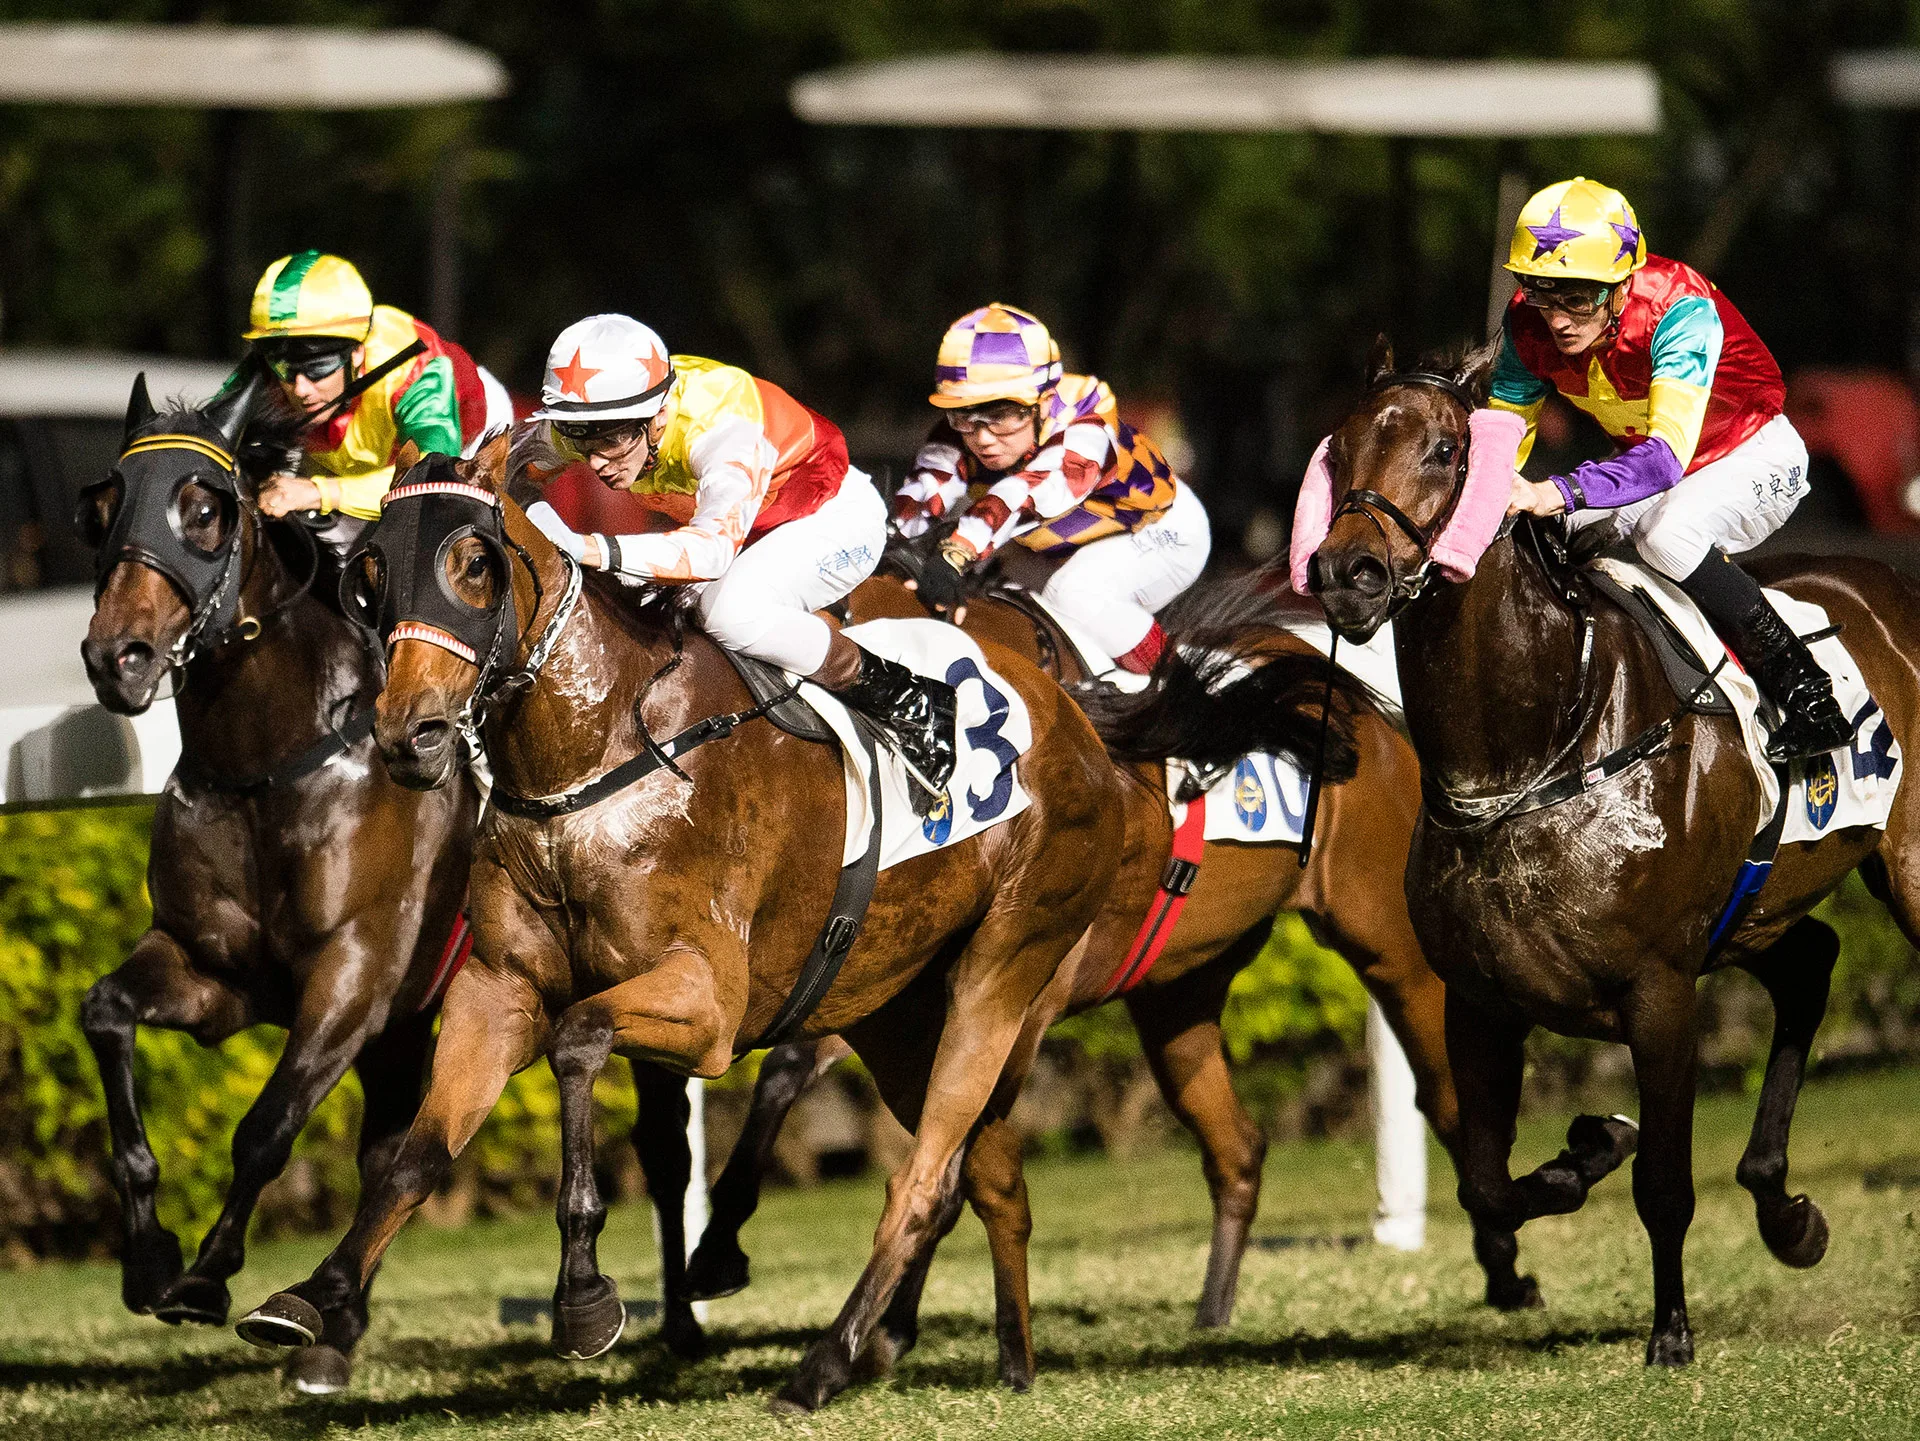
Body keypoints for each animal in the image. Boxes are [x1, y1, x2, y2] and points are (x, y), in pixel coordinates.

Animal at [73, 374, 480, 1394]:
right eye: (101, 508)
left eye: (205, 509)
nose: (117, 657)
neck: (268, 764)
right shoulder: (214, 970)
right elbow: (105, 1012)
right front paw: (149, 1259)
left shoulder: (351, 976)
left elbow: (266, 1126)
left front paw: (206, 1274)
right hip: (404, 1025)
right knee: (385, 1148)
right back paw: (335, 1329)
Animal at [671, 546, 1541, 1385]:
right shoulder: (894, 972)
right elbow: (796, 1073)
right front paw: (720, 1254)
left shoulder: (1016, 999)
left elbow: (956, 1144)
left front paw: (884, 1330)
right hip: (1178, 995)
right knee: (1237, 1144)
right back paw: (1213, 1310)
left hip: (1387, 941)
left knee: (1444, 1094)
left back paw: (1506, 1267)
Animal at [1307, 337, 1920, 1366]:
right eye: (1338, 448)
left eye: (1443, 450)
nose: (1346, 572)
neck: (1533, 751)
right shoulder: (1480, 999)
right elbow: (1488, 1182)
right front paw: (1591, 1143)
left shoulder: (1661, 989)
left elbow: (1664, 1186)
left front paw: (1670, 1331)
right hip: (1755, 910)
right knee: (1810, 963)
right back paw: (1784, 1209)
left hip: (1901, 874)